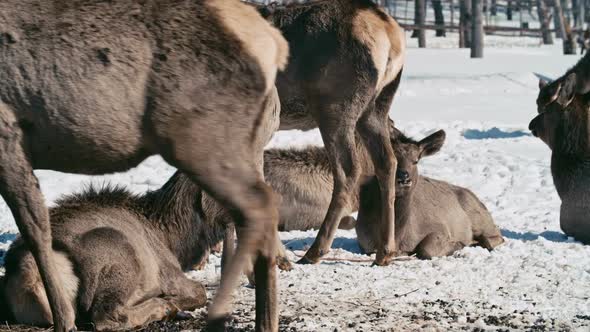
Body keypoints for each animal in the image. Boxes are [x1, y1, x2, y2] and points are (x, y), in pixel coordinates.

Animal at [252, 0, 410, 266]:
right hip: (376, 107)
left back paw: (315, 250)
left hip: (335, 108)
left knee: (348, 170)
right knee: (387, 162)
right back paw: (385, 251)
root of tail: (390, 31)